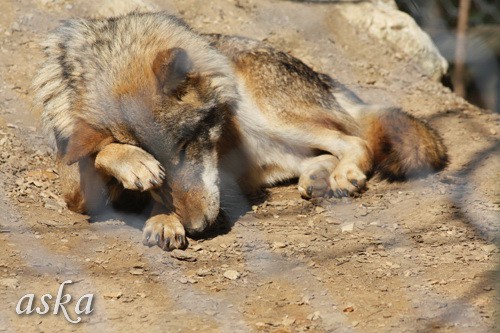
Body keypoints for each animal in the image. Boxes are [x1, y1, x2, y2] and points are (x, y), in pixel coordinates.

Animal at [31, 11, 448, 249]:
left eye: (185, 147)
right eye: (164, 167)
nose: (198, 227)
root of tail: (321, 77)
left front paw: (160, 211)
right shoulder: (76, 191)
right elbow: (103, 155)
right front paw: (148, 186)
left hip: (264, 113)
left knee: (356, 139)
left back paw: (343, 175)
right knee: (316, 156)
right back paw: (317, 178)